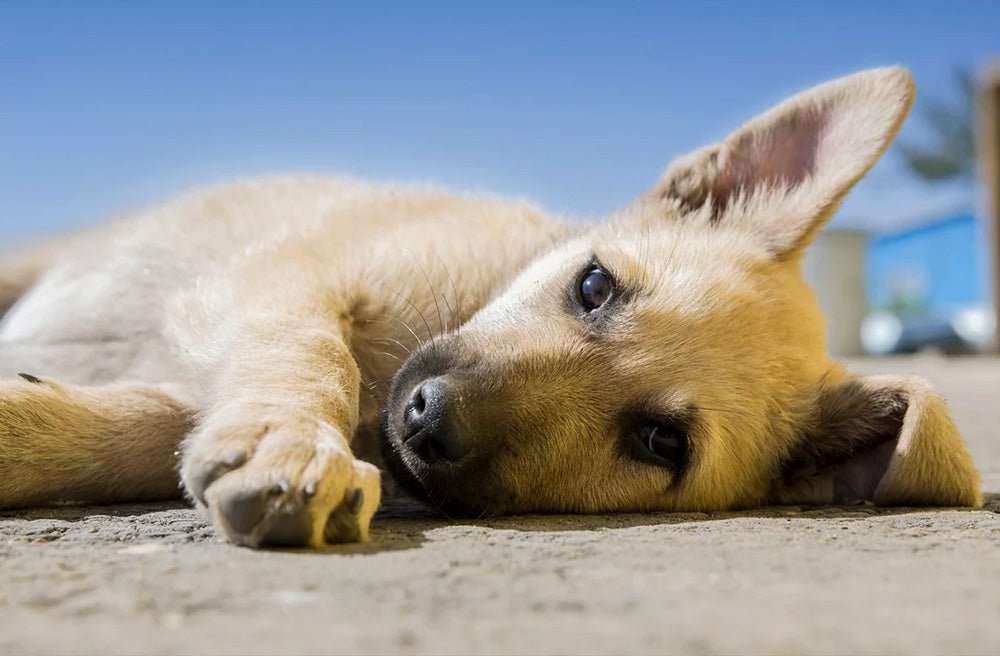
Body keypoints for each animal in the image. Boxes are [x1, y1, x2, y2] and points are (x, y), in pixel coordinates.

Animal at [0, 68, 984, 548]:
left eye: (661, 444)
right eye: (594, 286)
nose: (428, 420)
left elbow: (136, 427)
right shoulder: (280, 275)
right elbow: (310, 352)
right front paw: (294, 445)